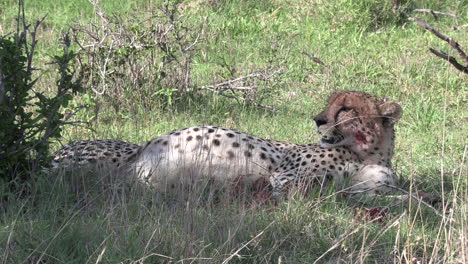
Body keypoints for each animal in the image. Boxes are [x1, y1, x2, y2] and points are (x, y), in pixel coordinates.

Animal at [130, 91, 400, 198]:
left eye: (346, 108)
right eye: (329, 103)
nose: (317, 119)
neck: (368, 154)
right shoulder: (285, 178)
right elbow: (314, 190)